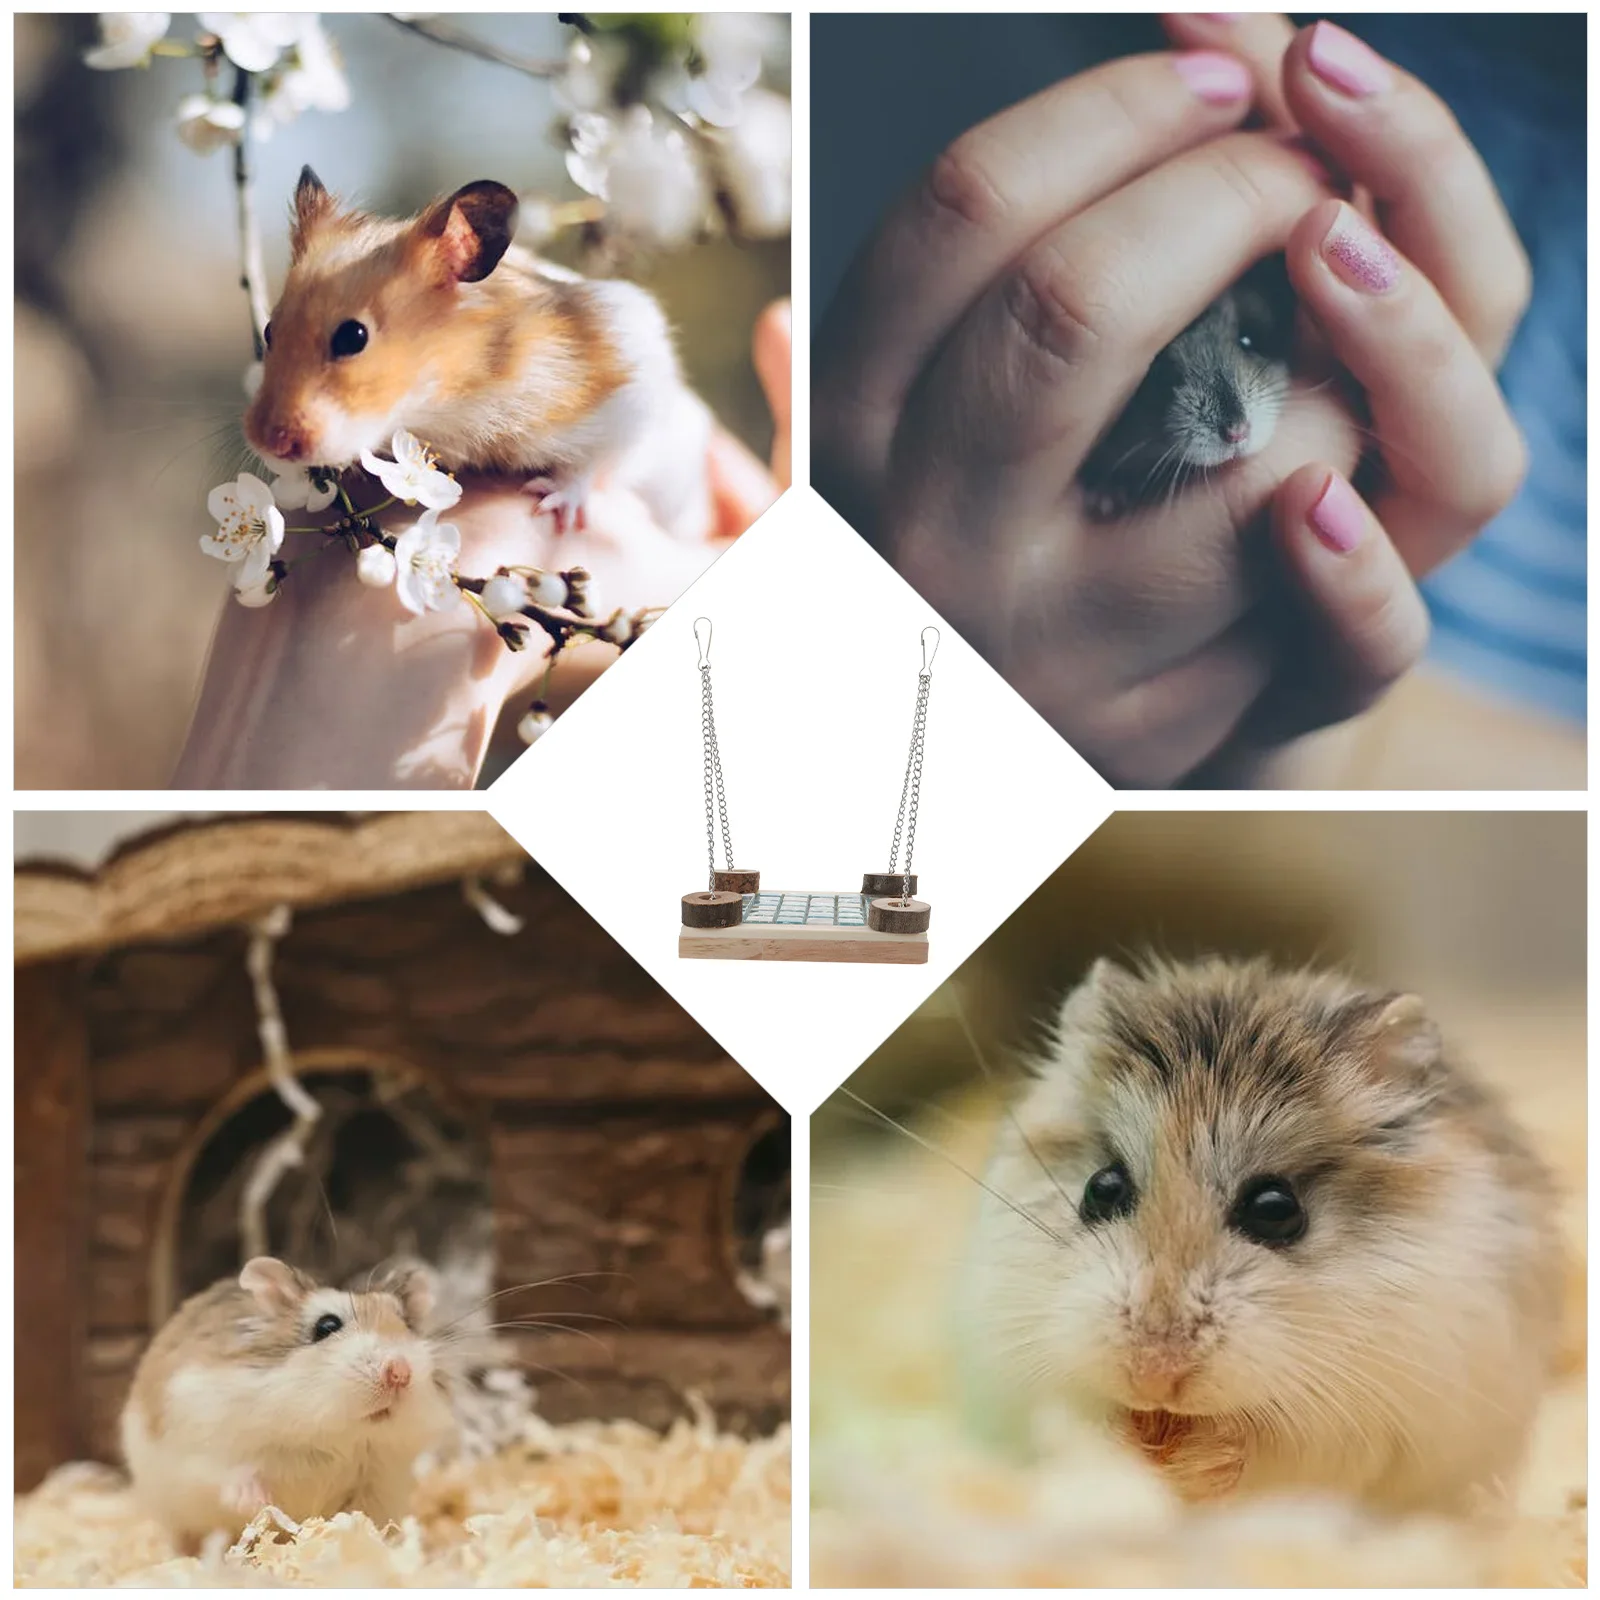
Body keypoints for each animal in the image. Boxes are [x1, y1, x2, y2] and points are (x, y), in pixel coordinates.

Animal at [120, 1256, 457, 1551]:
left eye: (407, 1325)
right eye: (326, 1326)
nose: (400, 1372)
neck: (332, 1434)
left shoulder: (380, 1484)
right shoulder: (204, 1443)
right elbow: (229, 1474)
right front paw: (257, 1501)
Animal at [244, 167, 712, 536]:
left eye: (352, 337)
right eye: (268, 330)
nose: (268, 443)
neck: (451, 398)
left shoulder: (630, 389)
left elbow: (594, 462)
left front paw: (552, 504)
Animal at [955, 956, 1563, 1515]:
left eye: (1276, 1209)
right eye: (1101, 1188)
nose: (1153, 1377)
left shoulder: (1367, 1420)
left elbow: (1268, 1452)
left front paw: (1195, 1462)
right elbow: (1070, 1423)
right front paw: (1127, 1446)